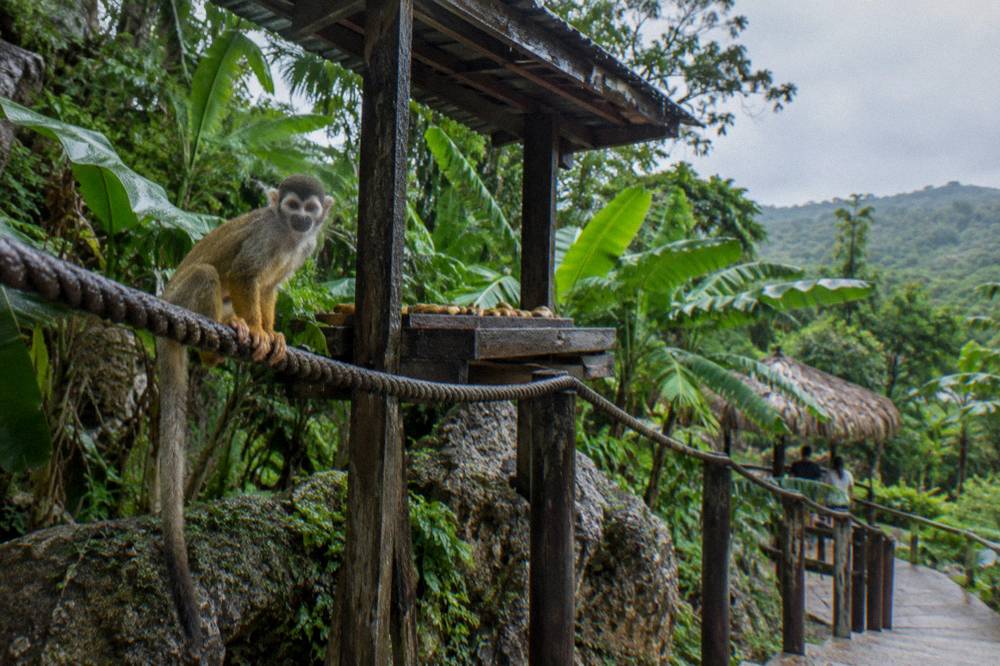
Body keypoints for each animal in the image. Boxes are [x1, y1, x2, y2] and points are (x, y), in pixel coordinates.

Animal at [157, 174, 333, 658]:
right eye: (291, 206)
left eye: (310, 210)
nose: (301, 219)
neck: (287, 236)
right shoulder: (265, 234)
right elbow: (244, 274)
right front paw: (256, 331)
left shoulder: (303, 247)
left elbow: (270, 288)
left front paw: (272, 334)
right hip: (182, 297)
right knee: (210, 275)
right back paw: (219, 344)